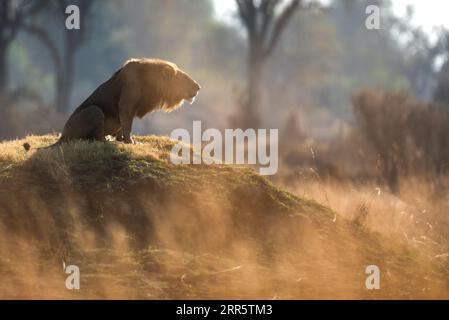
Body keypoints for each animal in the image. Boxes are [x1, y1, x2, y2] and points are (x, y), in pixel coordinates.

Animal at [53, 58, 200, 144]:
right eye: (182, 78)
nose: (198, 86)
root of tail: (62, 135)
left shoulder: (129, 110)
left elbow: (123, 125)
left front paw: (121, 139)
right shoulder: (126, 104)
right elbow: (127, 125)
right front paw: (130, 142)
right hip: (94, 110)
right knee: (95, 138)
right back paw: (105, 140)